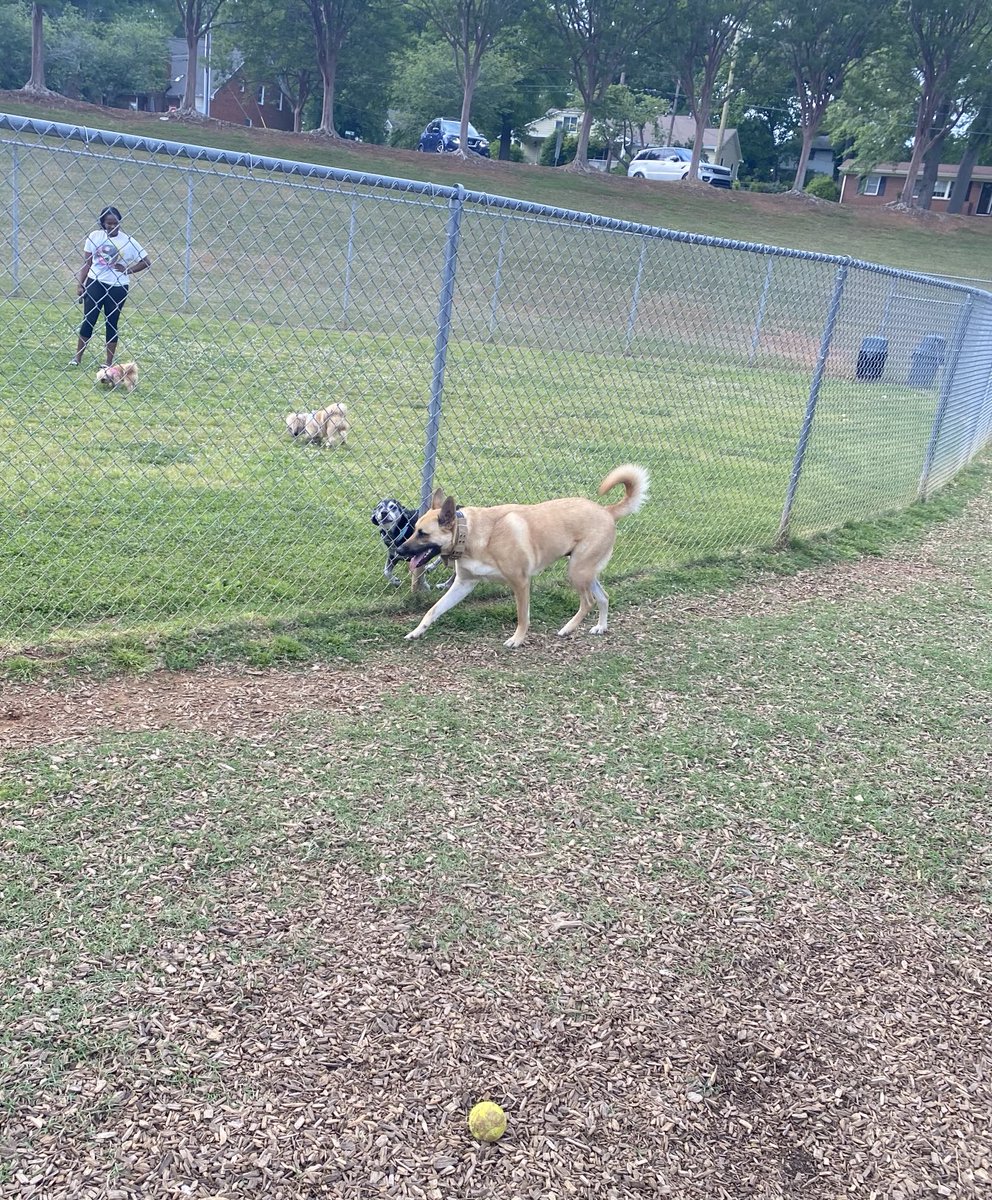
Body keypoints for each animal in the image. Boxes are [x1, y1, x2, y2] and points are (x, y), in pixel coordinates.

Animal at [395, 463, 652, 648]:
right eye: (414, 528)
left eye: (423, 533)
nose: (398, 550)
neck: (472, 535)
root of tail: (606, 511)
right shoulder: (464, 584)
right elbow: (434, 609)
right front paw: (417, 631)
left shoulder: (520, 582)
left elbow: (522, 616)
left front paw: (517, 639)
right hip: (585, 571)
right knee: (604, 597)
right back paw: (601, 627)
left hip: (577, 571)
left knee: (588, 601)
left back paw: (568, 628)